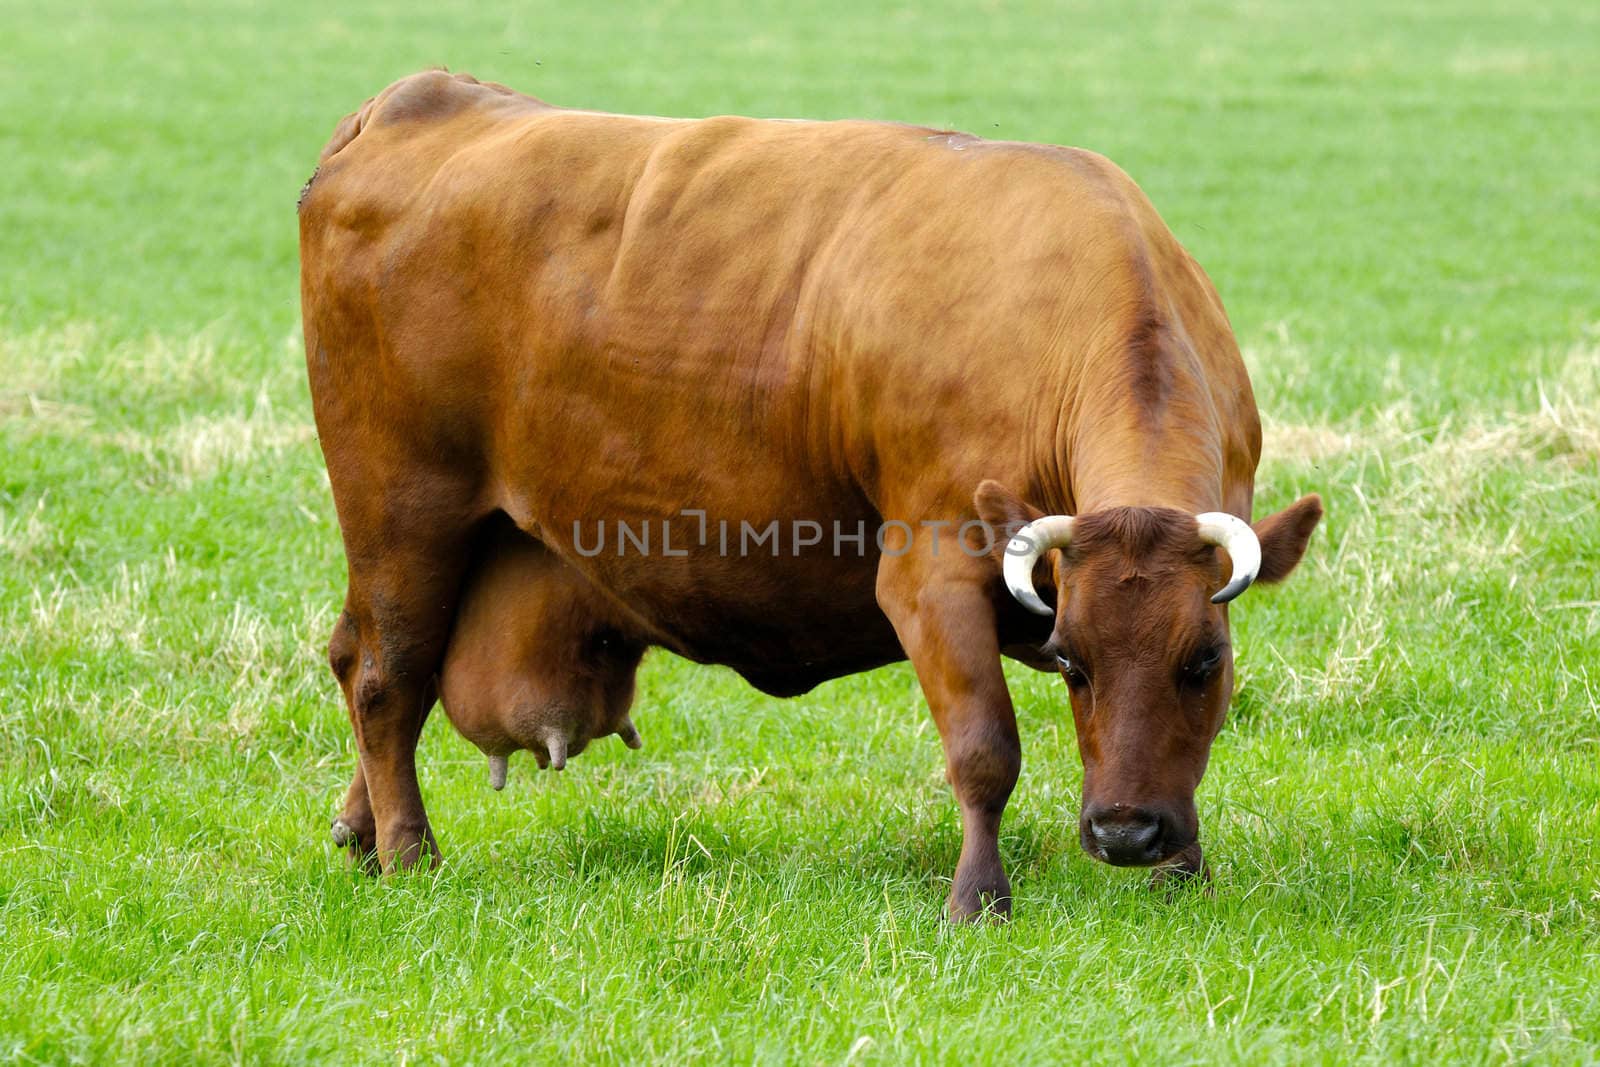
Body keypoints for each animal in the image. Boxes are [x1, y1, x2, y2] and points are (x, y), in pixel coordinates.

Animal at [302, 68, 1324, 921]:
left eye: (1203, 661)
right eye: (1071, 660)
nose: (1124, 831)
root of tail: (423, 97)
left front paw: (1183, 873)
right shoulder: (929, 577)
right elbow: (985, 749)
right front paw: (977, 897)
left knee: (376, 662)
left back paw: (360, 830)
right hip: (403, 508)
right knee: (387, 674)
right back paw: (409, 852)